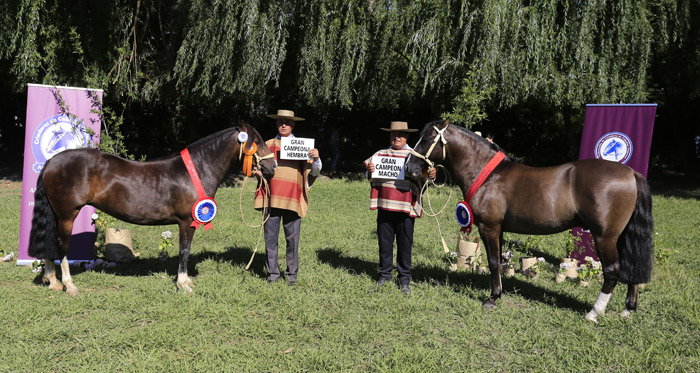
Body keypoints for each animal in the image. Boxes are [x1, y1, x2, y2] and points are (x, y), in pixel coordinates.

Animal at [29, 123, 276, 294]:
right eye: (256, 141)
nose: (272, 166)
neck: (196, 169)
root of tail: (51, 162)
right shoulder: (187, 221)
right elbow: (184, 251)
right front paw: (183, 284)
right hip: (67, 214)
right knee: (62, 245)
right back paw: (69, 285)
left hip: (57, 215)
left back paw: (52, 281)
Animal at [408, 120, 652, 322]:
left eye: (428, 138)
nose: (410, 168)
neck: (488, 175)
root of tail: (631, 173)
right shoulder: (499, 230)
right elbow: (498, 261)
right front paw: (498, 293)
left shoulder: (490, 228)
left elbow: (493, 262)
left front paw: (492, 298)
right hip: (622, 236)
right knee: (631, 266)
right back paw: (627, 310)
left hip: (605, 237)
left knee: (612, 271)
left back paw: (594, 312)